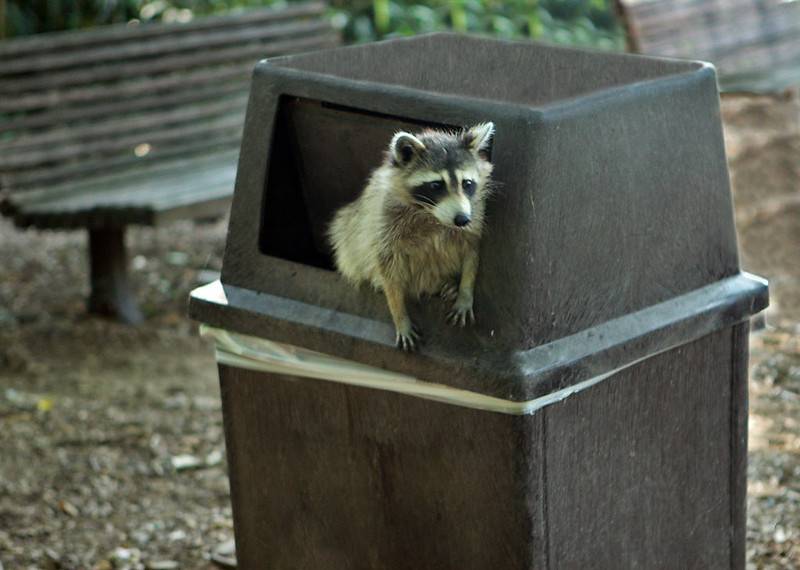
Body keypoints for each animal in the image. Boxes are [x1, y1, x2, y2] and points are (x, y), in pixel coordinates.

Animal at [326, 122, 494, 348]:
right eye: (436, 185)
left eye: (467, 183)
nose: (462, 219)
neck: (432, 215)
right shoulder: (384, 224)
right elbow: (388, 269)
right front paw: (400, 315)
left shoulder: (474, 219)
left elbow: (472, 253)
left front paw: (465, 292)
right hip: (349, 231)